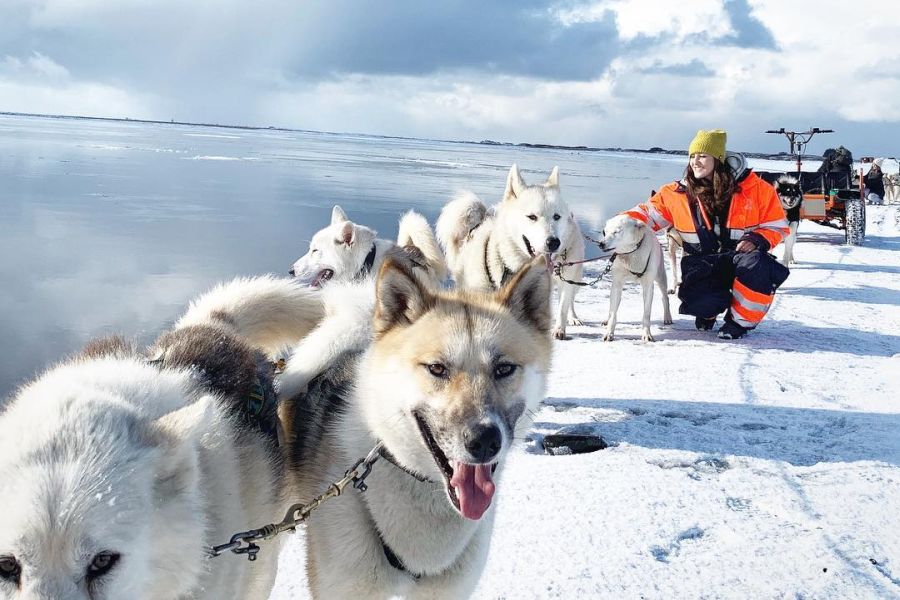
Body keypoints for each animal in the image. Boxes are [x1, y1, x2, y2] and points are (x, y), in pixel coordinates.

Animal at [434, 164, 584, 340]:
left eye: (556, 216)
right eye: (532, 217)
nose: (553, 242)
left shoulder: (566, 282)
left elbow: (562, 308)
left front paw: (559, 329)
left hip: (574, 277)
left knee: (570, 300)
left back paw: (573, 318)